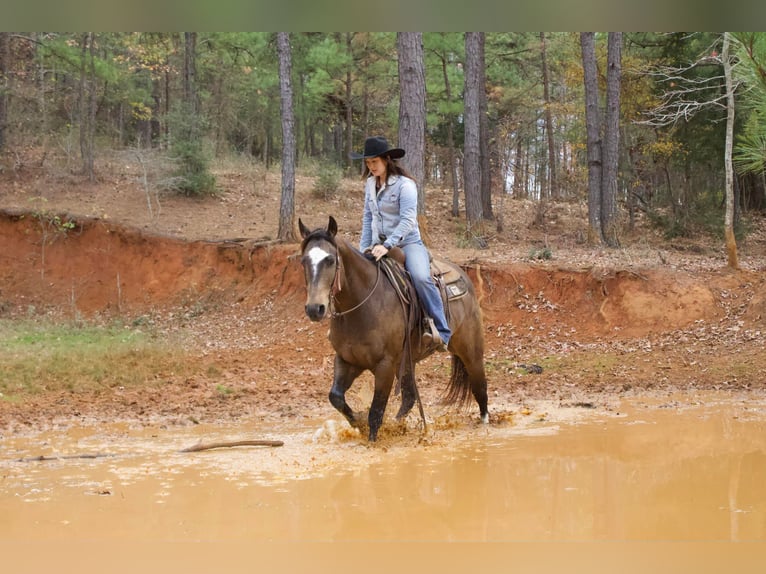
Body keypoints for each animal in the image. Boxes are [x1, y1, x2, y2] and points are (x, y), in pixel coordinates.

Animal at [296, 217, 488, 446]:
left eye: (330, 260)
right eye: (303, 261)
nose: (314, 308)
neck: (362, 305)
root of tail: (463, 275)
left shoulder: (384, 365)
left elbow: (376, 410)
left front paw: (372, 440)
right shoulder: (347, 360)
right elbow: (335, 397)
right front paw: (358, 421)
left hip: (470, 350)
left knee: (480, 387)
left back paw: (486, 422)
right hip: (406, 364)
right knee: (409, 398)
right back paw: (398, 425)